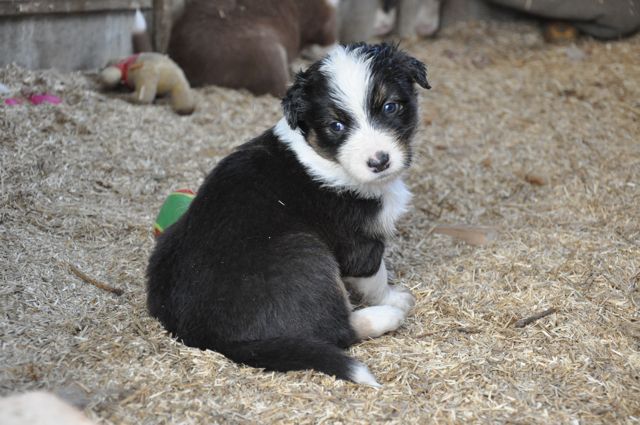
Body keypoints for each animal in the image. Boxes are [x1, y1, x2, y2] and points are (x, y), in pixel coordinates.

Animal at [146, 44, 430, 388]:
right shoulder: (358, 244)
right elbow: (375, 277)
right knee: (336, 331)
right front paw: (393, 298)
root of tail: (208, 338)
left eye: (390, 107)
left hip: (171, 239)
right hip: (305, 253)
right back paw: (386, 317)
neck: (321, 156)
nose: (379, 161)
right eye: (336, 126)